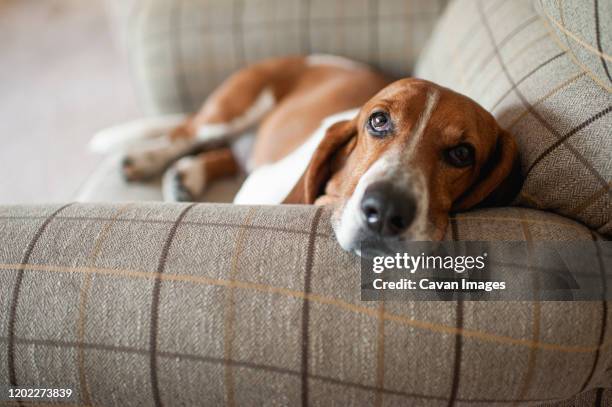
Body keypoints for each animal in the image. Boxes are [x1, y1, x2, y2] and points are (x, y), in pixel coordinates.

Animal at [94, 55, 520, 255]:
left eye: (462, 153)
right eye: (378, 121)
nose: (384, 211)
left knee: (220, 154)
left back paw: (188, 177)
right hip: (229, 110)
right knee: (183, 134)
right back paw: (146, 160)